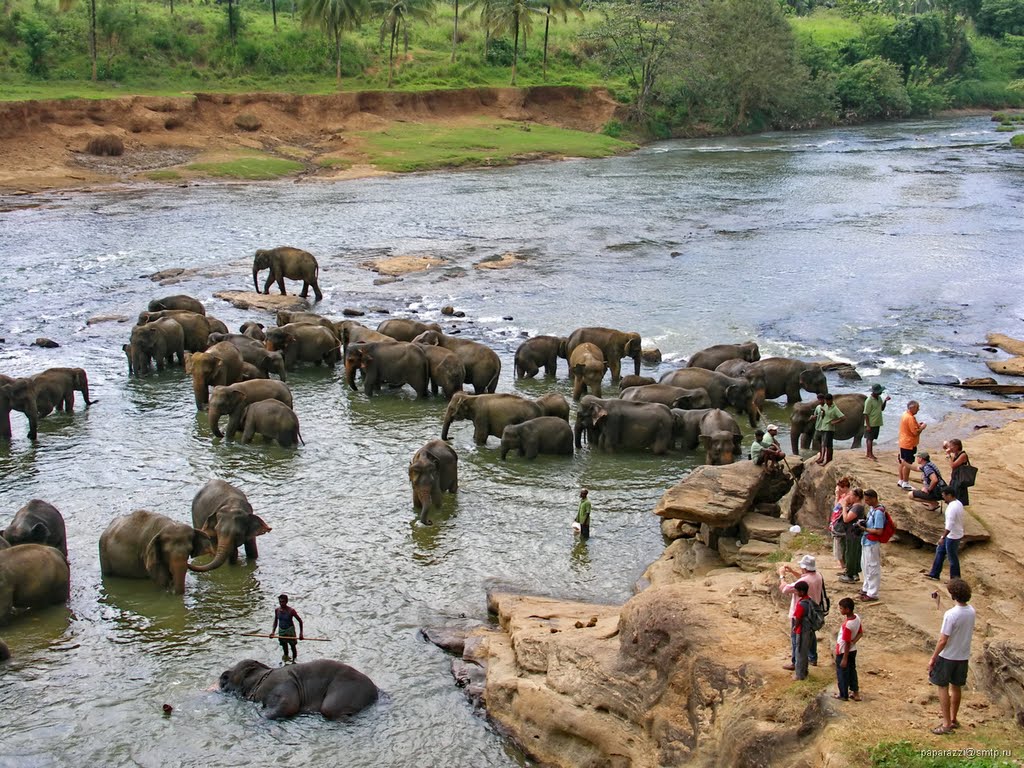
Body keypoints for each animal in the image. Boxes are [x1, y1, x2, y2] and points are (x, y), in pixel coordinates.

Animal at [218, 659, 378, 724]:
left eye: (227, 676)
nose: (222, 676)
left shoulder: (281, 683)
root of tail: (376, 692)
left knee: (329, 709)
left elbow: (290, 705)